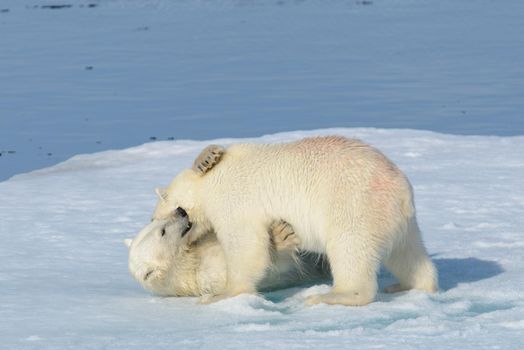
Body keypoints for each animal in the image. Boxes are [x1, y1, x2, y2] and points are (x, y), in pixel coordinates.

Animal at [150, 137, 438, 306]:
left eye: (158, 219)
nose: (178, 219)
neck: (209, 186)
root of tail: (402, 192)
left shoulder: (234, 201)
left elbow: (246, 246)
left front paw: (223, 294)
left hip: (353, 204)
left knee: (350, 248)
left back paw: (333, 295)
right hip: (396, 221)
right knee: (408, 254)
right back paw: (410, 284)